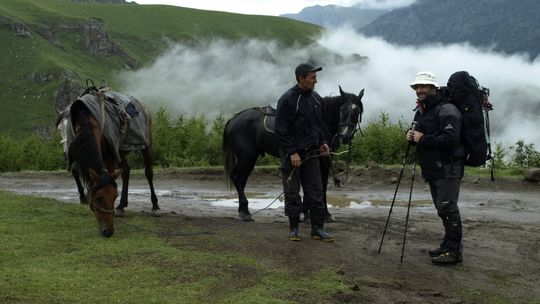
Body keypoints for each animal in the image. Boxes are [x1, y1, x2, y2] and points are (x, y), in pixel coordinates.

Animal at [221, 85, 364, 221]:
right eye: (341, 110)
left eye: (357, 111)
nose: (345, 136)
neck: (321, 122)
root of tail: (233, 120)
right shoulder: (319, 158)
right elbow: (320, 184)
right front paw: (320, 214)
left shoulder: (323, 157)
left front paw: (312, 213)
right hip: (247, 157)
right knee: (237, 178)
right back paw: (245, 212)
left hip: (250, 158)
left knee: (241, 180)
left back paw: (243, 210)